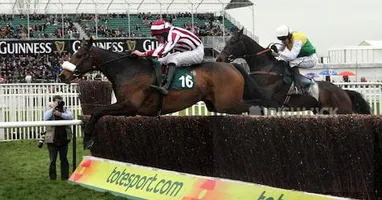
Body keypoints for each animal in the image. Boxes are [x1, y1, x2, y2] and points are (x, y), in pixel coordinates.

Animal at [59, 38, 268, 150]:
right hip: (215, 104)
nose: (62, 75)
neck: (127, 69)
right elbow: (98, 113)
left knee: (254, 105)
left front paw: (88, 138)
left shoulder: (130, 105)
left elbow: (96, 112)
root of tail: (233, 65)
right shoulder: (128, 110)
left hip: (228, 102)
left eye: (78, 55)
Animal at [216, 28, 372, 115]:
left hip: (341, 111)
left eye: (232, 42)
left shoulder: (267, 97)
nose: (219, 58)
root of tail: (343, 92)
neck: (266, 68)